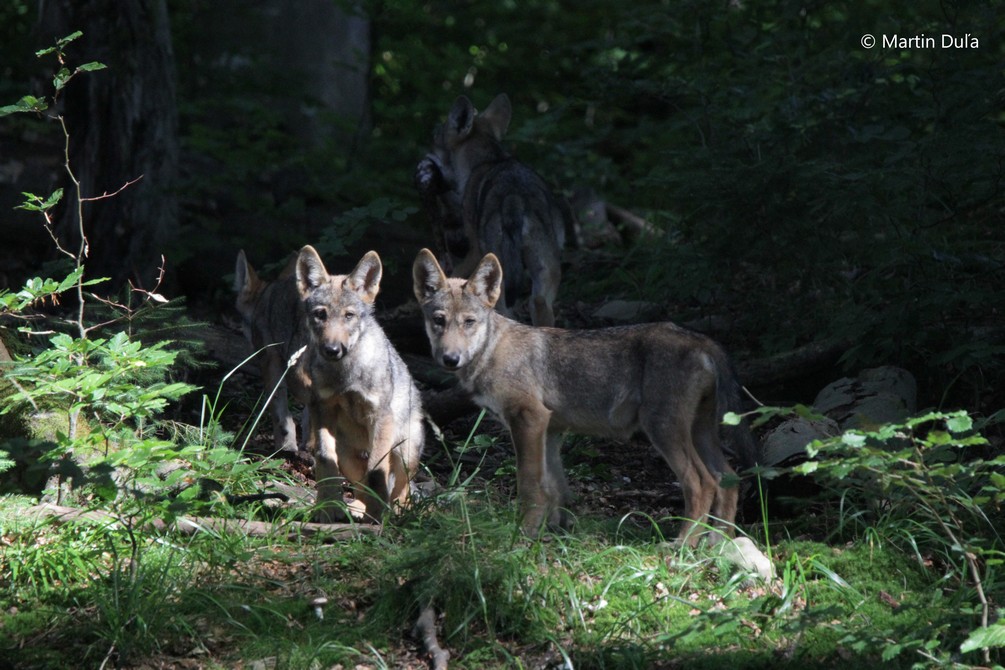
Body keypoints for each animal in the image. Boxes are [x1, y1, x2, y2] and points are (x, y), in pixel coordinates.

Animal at [410, 249, 755, 546]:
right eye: (439, 320)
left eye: (469, 322)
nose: (450, 359)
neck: (491, 352)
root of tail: (702, 340)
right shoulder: (550, 430)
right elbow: (556, 489)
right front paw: (555, 533)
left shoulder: (529, 420)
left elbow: (530, 486)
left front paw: (524, 536)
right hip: (700, 432)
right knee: (729, 478)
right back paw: (719, 546)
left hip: (663, 431)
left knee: (701, 483)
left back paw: (681, 545)